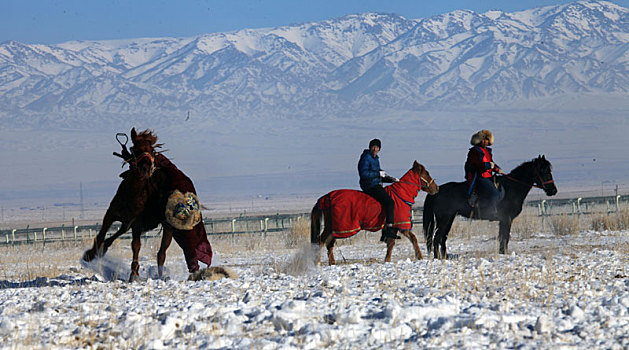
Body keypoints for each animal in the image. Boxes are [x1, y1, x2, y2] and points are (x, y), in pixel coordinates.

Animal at [312, 161, 440, 266]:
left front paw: (387, 260)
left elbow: (391, 243)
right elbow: (413, 238)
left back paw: (332, 263)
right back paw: (318, 262)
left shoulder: (393, 227)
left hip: (334, 228)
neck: (401, 195)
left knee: (329, 244)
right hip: (334, 226)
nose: (436, 188)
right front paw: (420, 257)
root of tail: (326, 197)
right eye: (426, 173)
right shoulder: (401, 224)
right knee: (321, 241)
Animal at [422, 154, 556, 258]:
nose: (553, 190)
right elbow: (504, 238)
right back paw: (438, 258)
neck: (511, 188)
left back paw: (444, 257)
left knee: (442, 238)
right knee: (437, 238)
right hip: (444, 219)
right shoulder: (506, 219)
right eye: (544, 171)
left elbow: (503, 238)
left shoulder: (504, 220)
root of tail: (437, 191)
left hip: (449, 219)